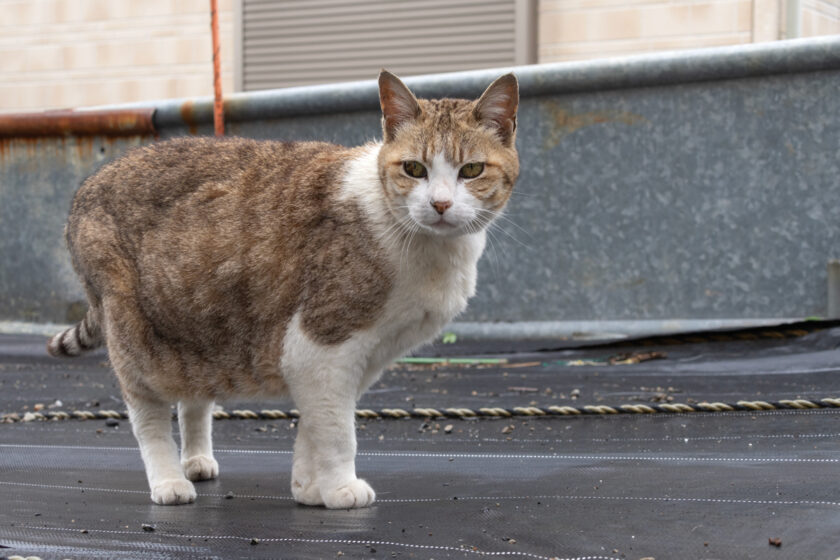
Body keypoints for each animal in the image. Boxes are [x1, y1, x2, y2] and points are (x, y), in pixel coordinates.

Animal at [47, 70, 520, 508]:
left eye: (472, 170)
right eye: (414, 169)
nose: (440, 204)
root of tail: (89, 185)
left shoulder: (356, 358)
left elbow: (315, 427)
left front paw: (309, 489)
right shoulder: (322, 345)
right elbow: (337, 431)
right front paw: (341, 489)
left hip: (196, 328)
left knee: (193, 398)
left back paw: (196, 460)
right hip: (135, 334)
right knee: (146, 412)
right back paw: (168, 481)